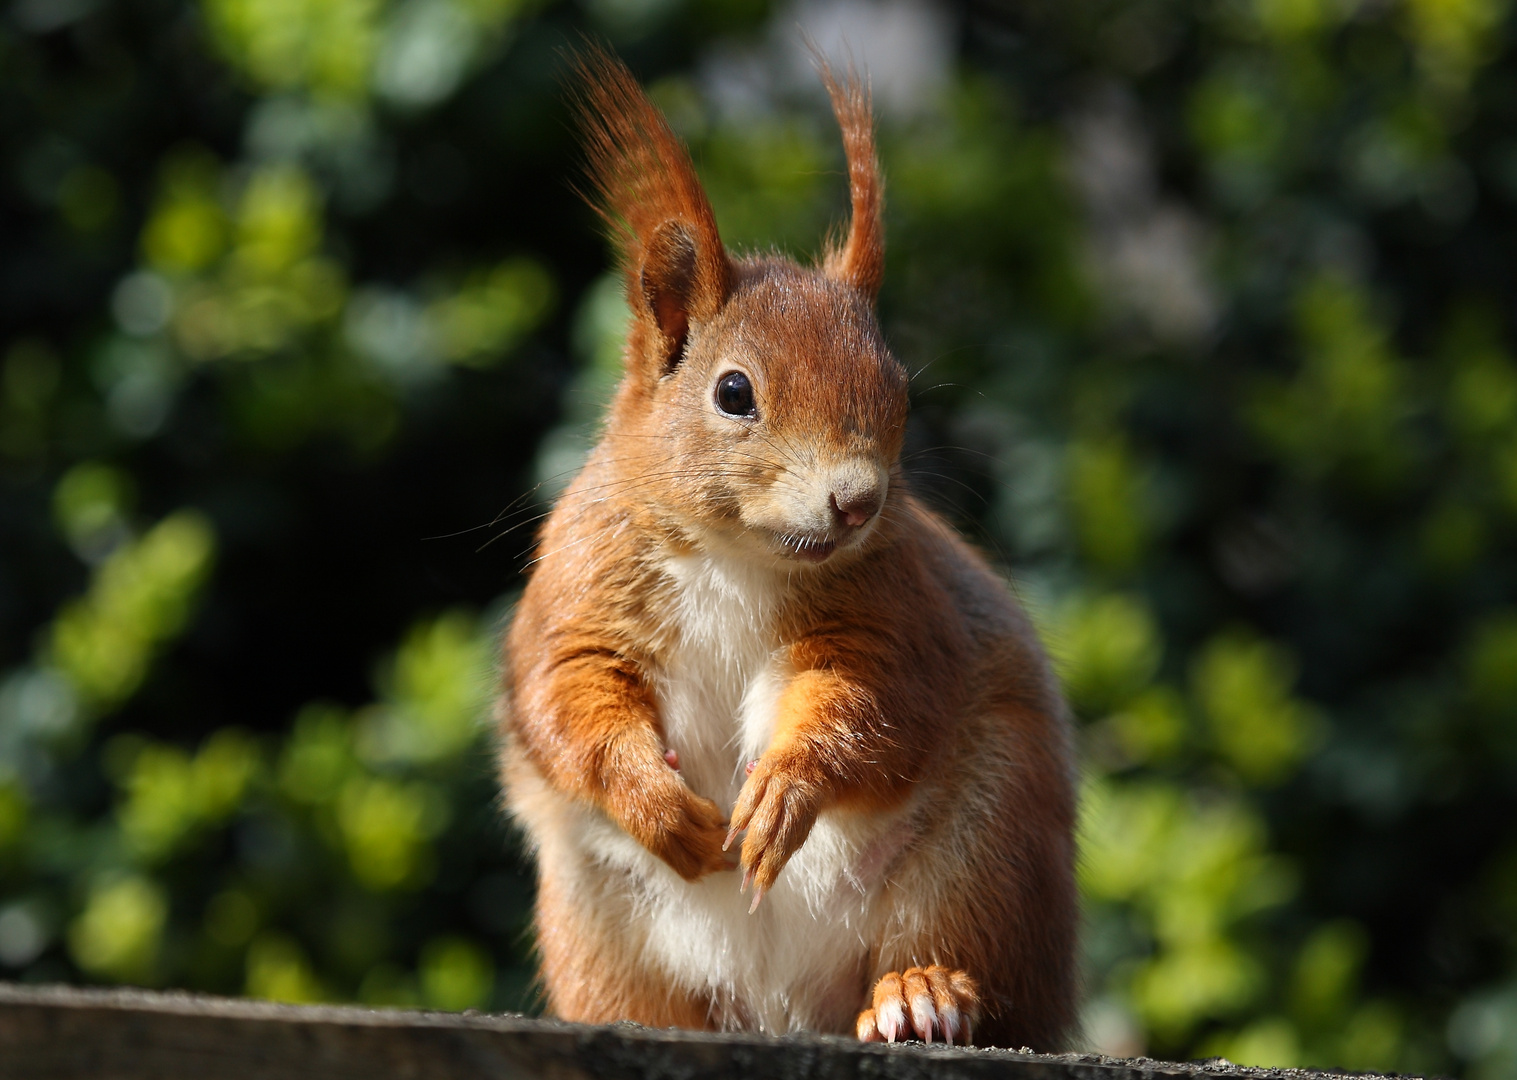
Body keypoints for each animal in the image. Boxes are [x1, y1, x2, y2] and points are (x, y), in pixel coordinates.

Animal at [500, 46, 1080, 1049]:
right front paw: (653, 802)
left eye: (895, 388)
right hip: (594, 918)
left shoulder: (893, 613)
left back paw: (920, 995)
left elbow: (872, 701)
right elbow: (567, 698)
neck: (737, 557)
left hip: (989, 846)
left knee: (965, 959)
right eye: (733, 392)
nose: (858, 502)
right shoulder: (578, 599)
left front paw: (785, 791)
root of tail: (783, 1005)